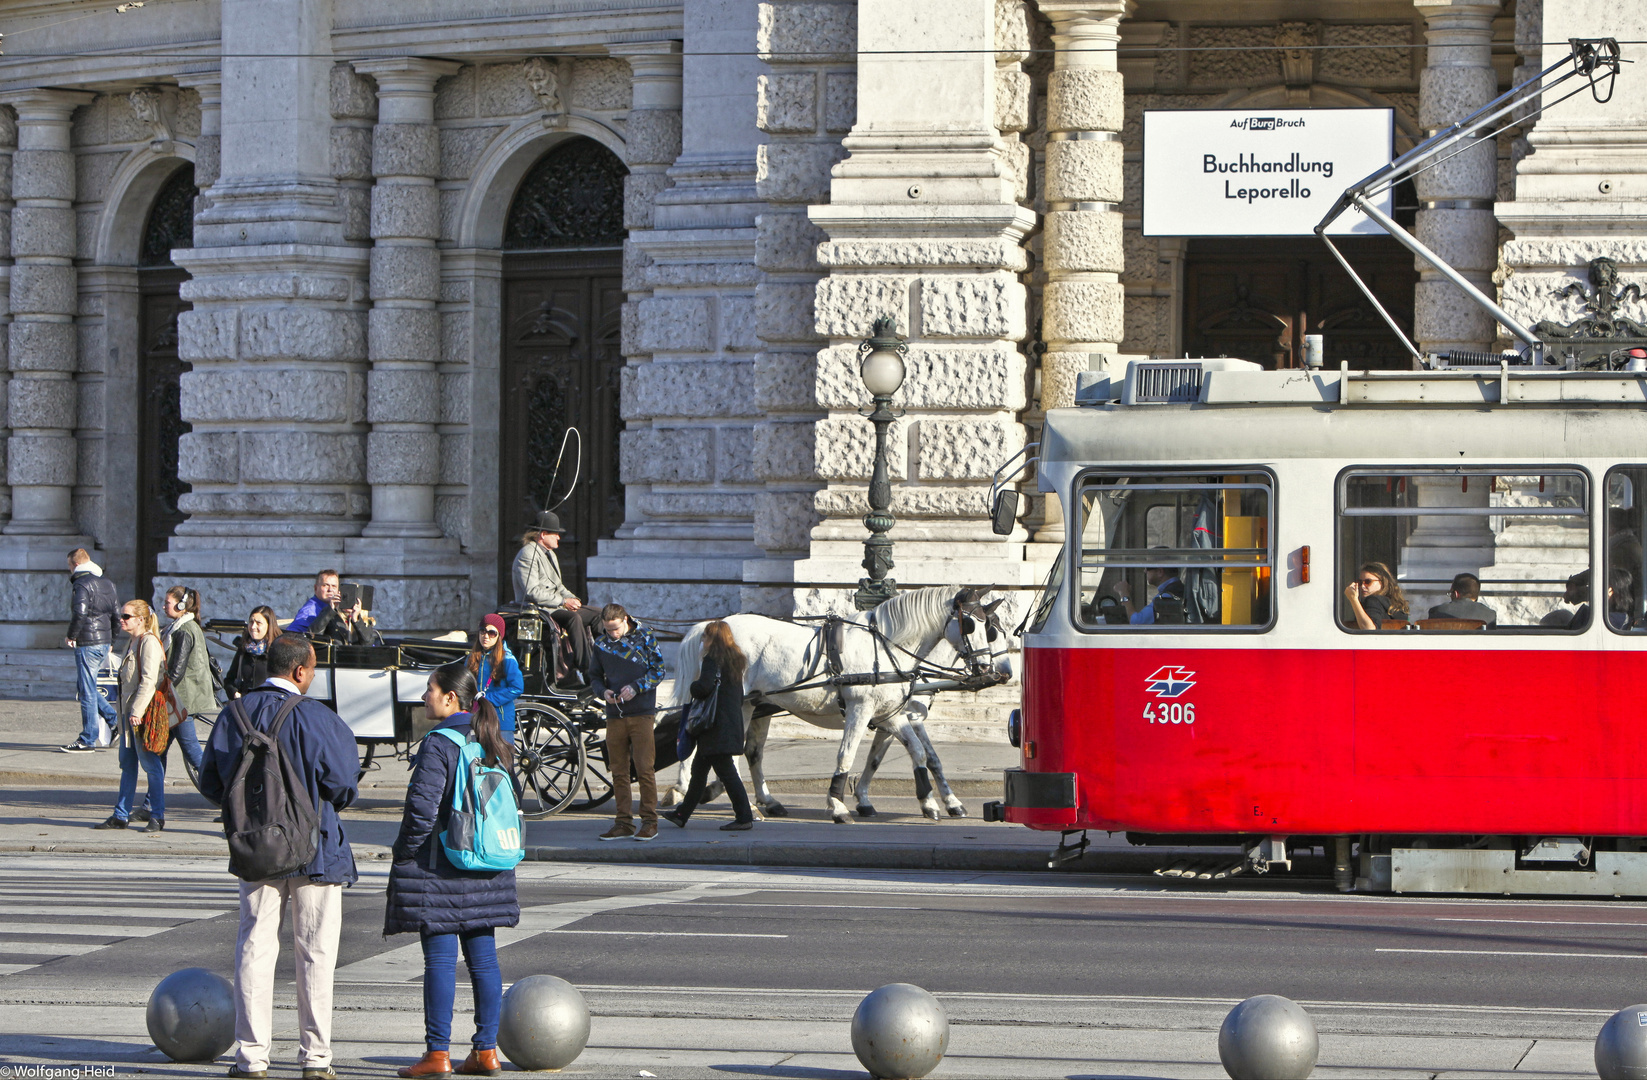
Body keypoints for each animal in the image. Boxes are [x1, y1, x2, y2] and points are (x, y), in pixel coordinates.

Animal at [665, 586, 1001, 823]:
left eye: (990, 626)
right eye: (971, 625)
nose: (988, 669)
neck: (886, 645)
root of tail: (712, 625)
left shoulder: (890, 715)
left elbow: (917, 753)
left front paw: (929, 802)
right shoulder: (861, 709)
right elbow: (847, 754)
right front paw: (839, 804)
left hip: (752, 704)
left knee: (747, 753)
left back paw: (756, 800)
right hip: (733, 703)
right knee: (715, 751)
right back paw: (710, 795)